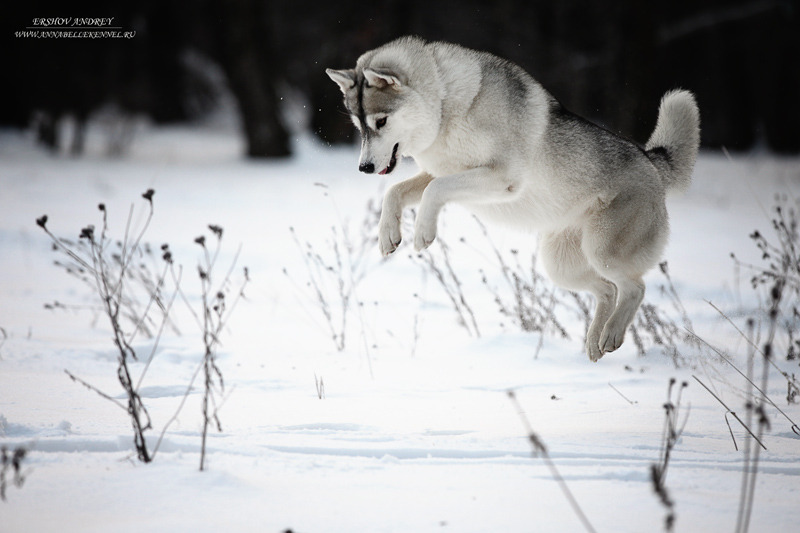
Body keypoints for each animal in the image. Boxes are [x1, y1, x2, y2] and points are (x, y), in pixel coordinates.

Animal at [324, 36, 700, 362]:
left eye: (381, 121)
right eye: (359, 126)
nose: (364, 167)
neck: (447, 106)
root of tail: (651, 160)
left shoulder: (500, 178)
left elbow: (433, 192)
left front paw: (422, 234)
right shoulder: (439, 172)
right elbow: (396, 192)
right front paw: (388, 235)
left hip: (603, 252)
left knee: (635, 288)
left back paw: (610, 336)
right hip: (561, 266)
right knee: (608, 291)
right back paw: (594, 344)